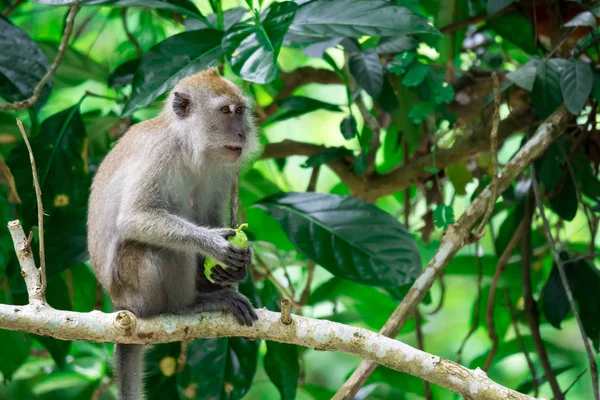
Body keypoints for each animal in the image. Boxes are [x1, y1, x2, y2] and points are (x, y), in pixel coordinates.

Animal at [88, 69, 262, 400]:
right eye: (225, 111)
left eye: (240, 111)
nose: (241, 135)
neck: (187, 146)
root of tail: (120, 306)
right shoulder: (158, 153)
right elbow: (134, 217)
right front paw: (215, 245)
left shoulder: (222, 170)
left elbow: (208, 214)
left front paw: (234, 266)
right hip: (135, 288)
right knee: (165, 247)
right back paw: (190, 305)